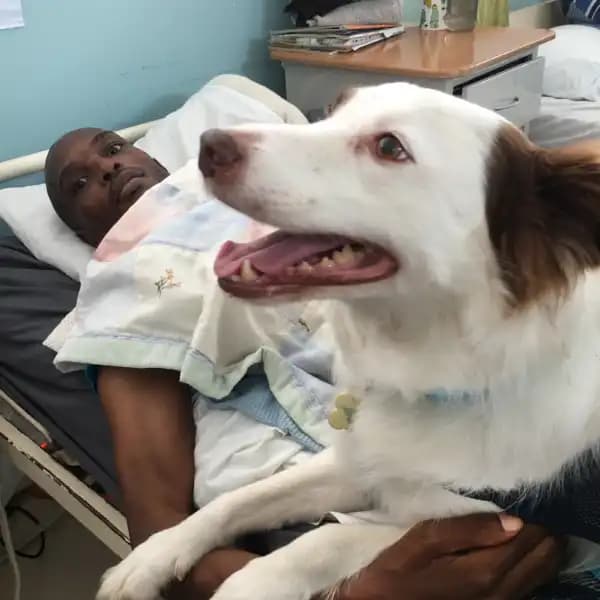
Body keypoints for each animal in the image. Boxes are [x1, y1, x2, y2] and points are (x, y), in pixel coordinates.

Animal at [96, 84, 600, 600]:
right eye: (333, 109)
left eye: (390, 147)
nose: (209, 145)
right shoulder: (365, 459)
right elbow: (243, 498)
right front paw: (154, 556)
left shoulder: (493, 526)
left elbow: (324, 540)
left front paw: (247, 586)